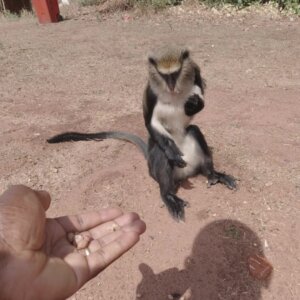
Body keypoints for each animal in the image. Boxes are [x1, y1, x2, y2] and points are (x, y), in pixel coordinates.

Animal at [47, 46, 236, 220]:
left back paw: (213, 174)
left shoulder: (195, 76)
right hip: (155, 166)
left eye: (176, 74)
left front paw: (195, 104)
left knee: (195, 130)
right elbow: (150, 122)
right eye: (164, 76)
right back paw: (169, 194)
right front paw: (171, 153)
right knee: (160, 151)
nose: (171, 85)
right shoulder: (150, 93)